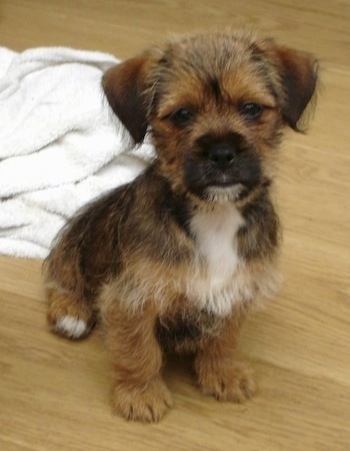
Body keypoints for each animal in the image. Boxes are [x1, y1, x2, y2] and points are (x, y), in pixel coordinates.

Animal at [43, 31, 318, 424]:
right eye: (183, 115)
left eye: (251, 108)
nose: (221, 152)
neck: (214, 214)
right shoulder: (132, 296)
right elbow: (139, 348)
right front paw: (140, 393)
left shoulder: (239, 287)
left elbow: (225, 336)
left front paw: (222, 371)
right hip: (75, 245)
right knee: (61, 278)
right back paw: (71, 312)